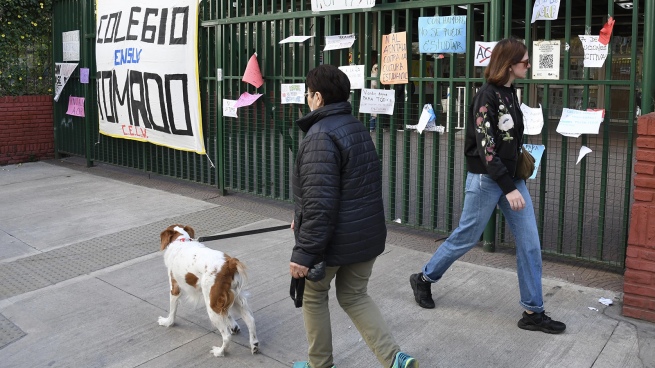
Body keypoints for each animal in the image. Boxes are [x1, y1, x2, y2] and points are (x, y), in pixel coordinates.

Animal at [158, 224, 258, 356]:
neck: (182, 240)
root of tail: (229, 263)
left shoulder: (175, 287)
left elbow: (172, 310)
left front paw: (167, 322)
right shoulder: (224, 299)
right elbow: (228, 314)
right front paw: (234, 325)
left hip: (212, 305)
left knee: (226, 336)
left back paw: (220, 352)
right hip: (232, 296)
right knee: (250, 320)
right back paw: (254, 344)